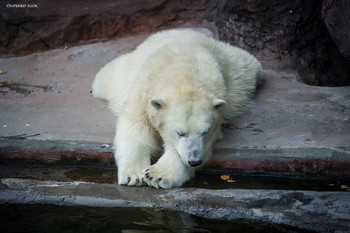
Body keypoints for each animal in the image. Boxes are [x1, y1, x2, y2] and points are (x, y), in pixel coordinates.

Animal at [91, 29, 262, 189]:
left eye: (204, 132)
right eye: (180, 132)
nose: (194, 161)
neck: (183, 74)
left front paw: (157, 175)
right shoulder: (142, 93)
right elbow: (136, 129)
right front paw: (134, 175)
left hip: (237, 69)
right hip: (124, 73)